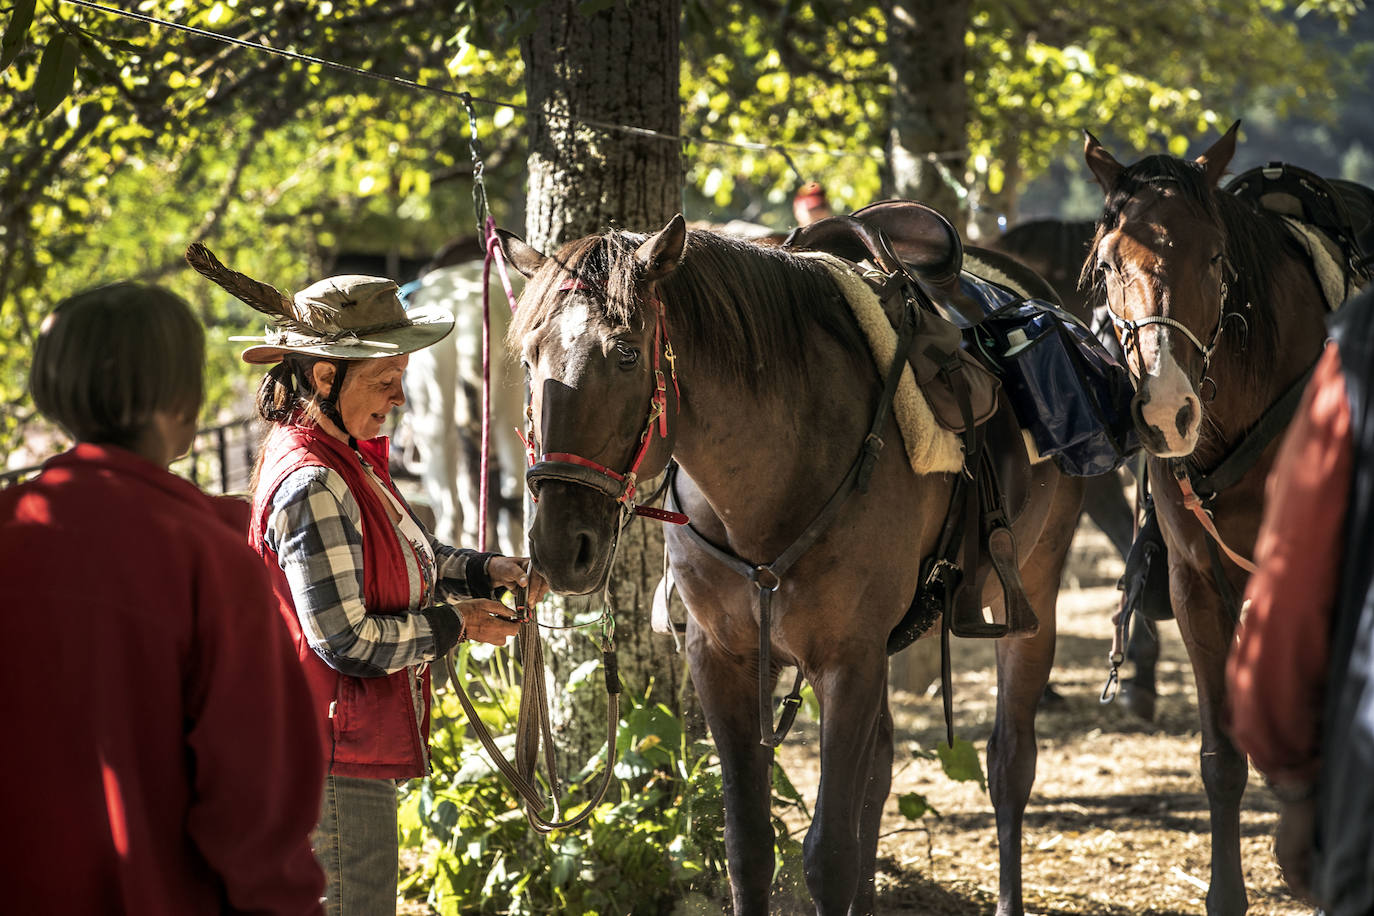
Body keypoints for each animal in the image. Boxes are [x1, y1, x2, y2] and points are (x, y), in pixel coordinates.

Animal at [500, 212, 1088, 916]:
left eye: (625, 354)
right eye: (528, 360)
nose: (562, 546)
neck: (775, 475)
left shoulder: (847, 660)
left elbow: (829, 853)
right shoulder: (721, 659)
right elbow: (750, 845)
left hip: (1031, 594)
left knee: (1008, 763)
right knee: (880, 769)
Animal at [1082, 123, 1363, 916]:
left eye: (1214, 256)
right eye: (1108, 263)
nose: (1164, 412)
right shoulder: (1198, 587)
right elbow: (1222, 760)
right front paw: (1226, 893)